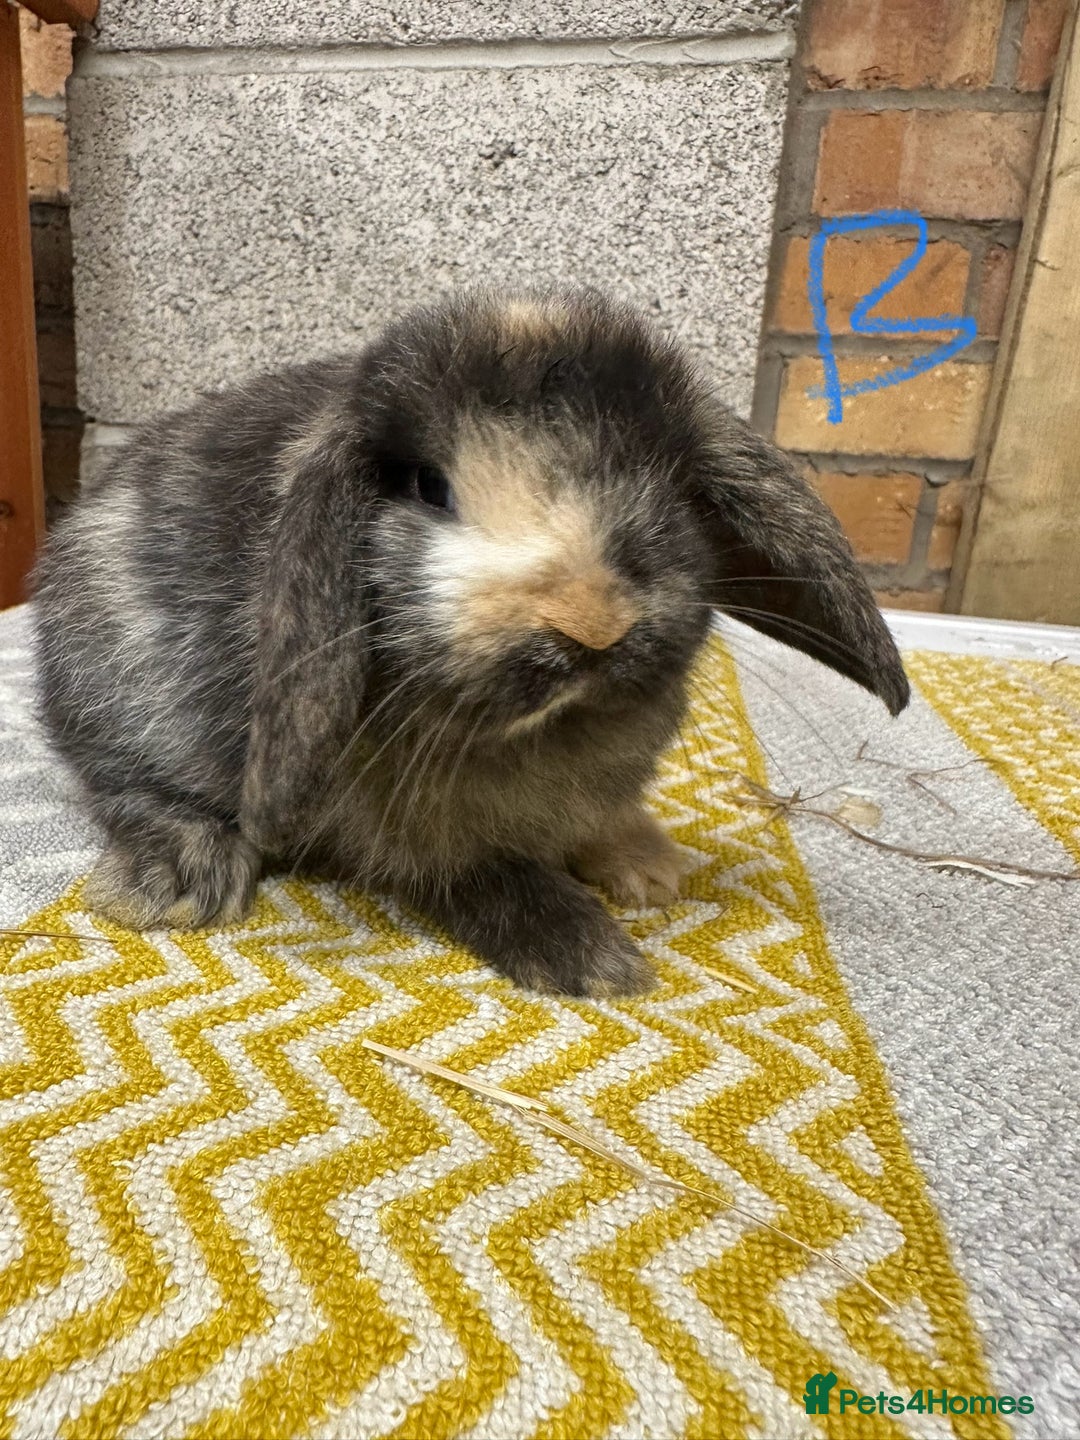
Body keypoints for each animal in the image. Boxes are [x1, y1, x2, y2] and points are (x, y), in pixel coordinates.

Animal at [33, 286, 909, 997]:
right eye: (430, 488)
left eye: (670, 483)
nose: (592, 620)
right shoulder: (414, 827)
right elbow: (479, 871)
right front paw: (590, 958)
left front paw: (647, 871)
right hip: (124, 687)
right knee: (121, 781)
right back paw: (179, 879)